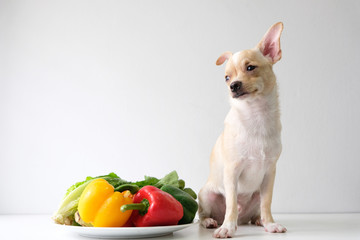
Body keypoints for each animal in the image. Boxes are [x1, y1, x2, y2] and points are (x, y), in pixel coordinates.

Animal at [197, 23, 286, 238]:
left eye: (250, 68)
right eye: (226, 77)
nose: (233, 85)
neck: (256, 116)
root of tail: (243, 218)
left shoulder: (269, 173)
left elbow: (267, 203)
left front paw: (270, 224)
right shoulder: (232, 172)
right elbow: (231, 202)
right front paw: (227, 228)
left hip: (256, 194)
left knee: (256, 210)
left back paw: (258, 221)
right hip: (206, 194)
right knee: (206, 214)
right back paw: (212, 221)